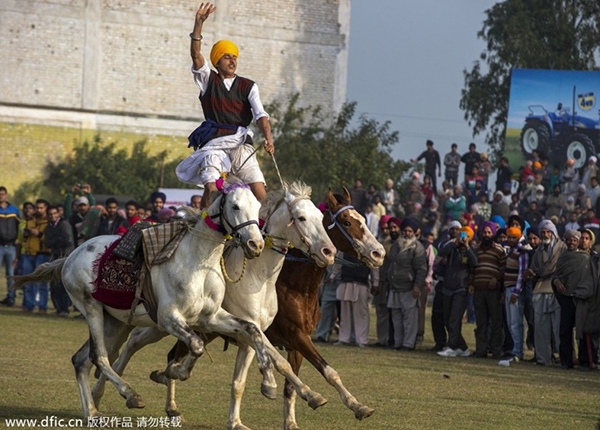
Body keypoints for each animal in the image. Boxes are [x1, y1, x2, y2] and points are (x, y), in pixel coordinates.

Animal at [93, 183, 338, 428]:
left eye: (321, 218)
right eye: (301, 218)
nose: (329, 252)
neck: (260, 278)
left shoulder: (256, 335)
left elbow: (243, 379)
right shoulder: (259, 333)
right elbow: (278, 363)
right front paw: (291, 391)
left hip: (159, 324)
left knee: (140, 344)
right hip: (161, 322)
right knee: (134, 343)